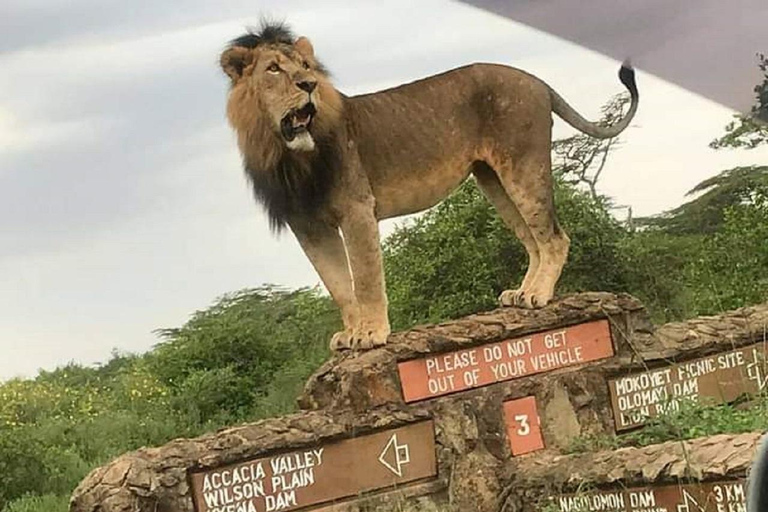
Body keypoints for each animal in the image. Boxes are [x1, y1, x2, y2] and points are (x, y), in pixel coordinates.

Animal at [219, 24, 640, 352]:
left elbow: (366, 278)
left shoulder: (357, 208)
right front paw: (351, 333)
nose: (308, 85)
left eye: (306, 67)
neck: (286, 153)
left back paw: (539, 295)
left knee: (553, 237)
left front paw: (372, 334)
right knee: (533, 240)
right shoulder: (308, 225)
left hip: (523, 166)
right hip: (493, 180)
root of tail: (538, 82)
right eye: (274, 69)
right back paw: (522, 295)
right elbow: (339, 285)